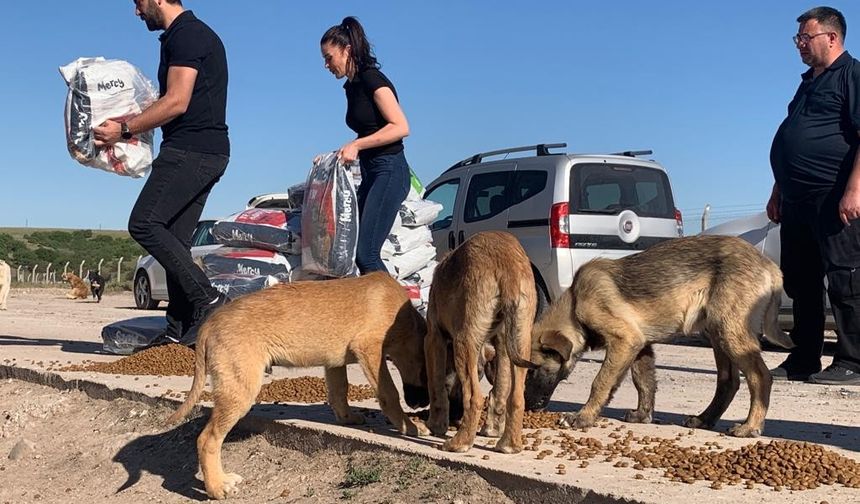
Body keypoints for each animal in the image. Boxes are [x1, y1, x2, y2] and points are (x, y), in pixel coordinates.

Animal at [424, 232, 536, 452]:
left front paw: (435, 426)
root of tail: (508, 264)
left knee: (474, 397)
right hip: (521, 338)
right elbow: (500, 390)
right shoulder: (501, 343)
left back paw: (460, 442)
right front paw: (492, 429)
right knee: (517, 397)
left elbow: (436, 386)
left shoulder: (434, 337)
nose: (456, 416)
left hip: (463, 341)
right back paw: (509, 445)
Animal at [528, 236, 796, 438]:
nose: (529, 407)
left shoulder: (625, 340)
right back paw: (704, 419)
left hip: (729, 331)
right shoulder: (640, 346)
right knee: (729, 381)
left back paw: (750, 426)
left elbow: (601, 381)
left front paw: (583, 417)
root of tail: (771, 266)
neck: (576, 303)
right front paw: (642, 415)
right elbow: (644, 382)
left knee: (760, 377)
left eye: (533, 370)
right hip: (718, 333)